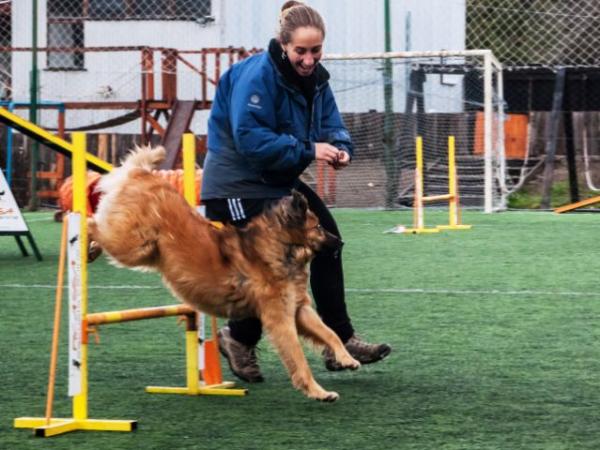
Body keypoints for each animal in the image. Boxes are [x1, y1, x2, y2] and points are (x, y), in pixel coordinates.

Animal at [88, 147, 360, 400]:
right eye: (318, 227)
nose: (341, 242)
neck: (280, 248)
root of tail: (144, 175)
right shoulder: (280, 320)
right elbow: (299, 358)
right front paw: (318, 392)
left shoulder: (298, 309)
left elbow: (330, 333)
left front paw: (347, 358)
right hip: (133, 246)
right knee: (93, 223)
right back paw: (85, 235)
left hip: (142, 251)